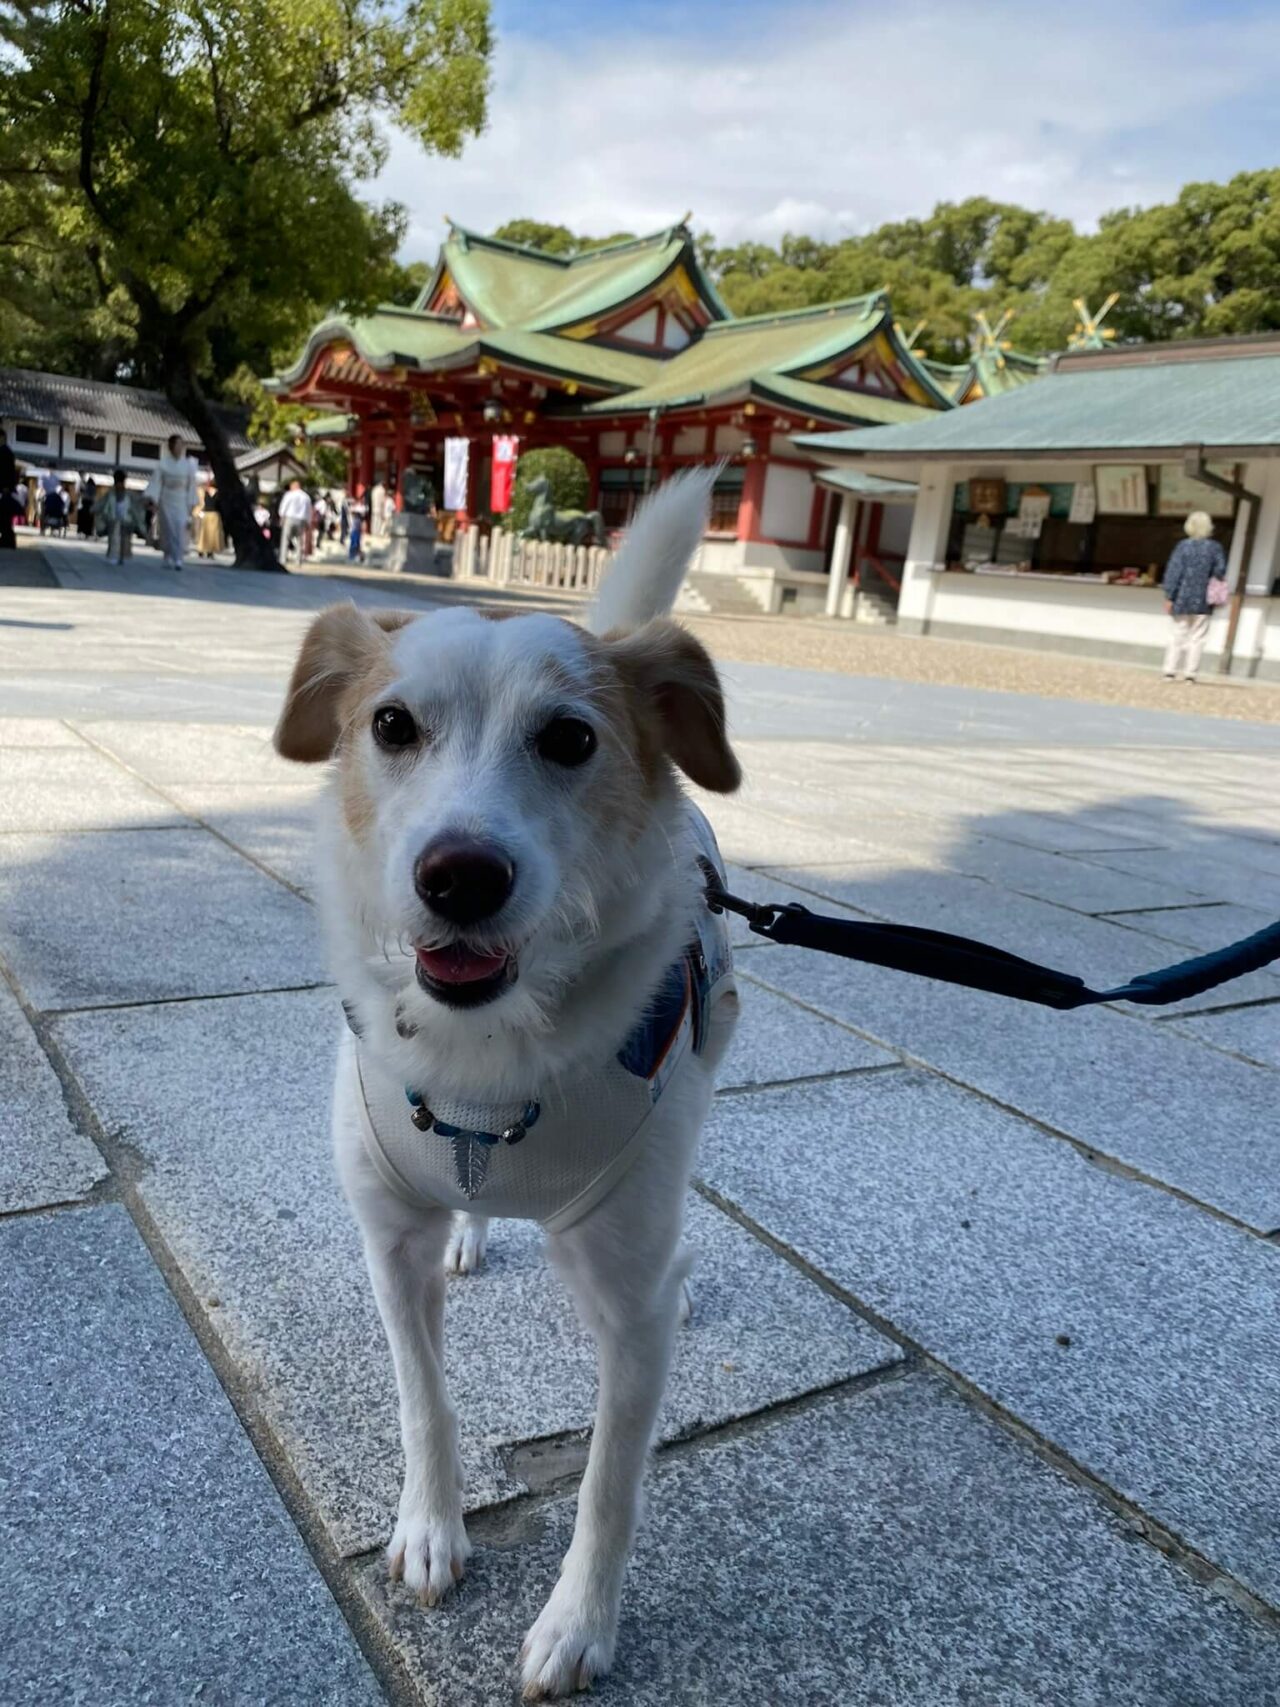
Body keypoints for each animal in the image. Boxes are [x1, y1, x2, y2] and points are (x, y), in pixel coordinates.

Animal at [276, 474, 747, 1700]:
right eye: (391, 726)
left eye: (571, 738)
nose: (459, 875)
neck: (484, 1057)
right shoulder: (386, 1242)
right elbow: (424, 1401)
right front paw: (430, 1528)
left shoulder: (627, 1310)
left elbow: (609, 1481)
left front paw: (577, 1625)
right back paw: (475, 1232)